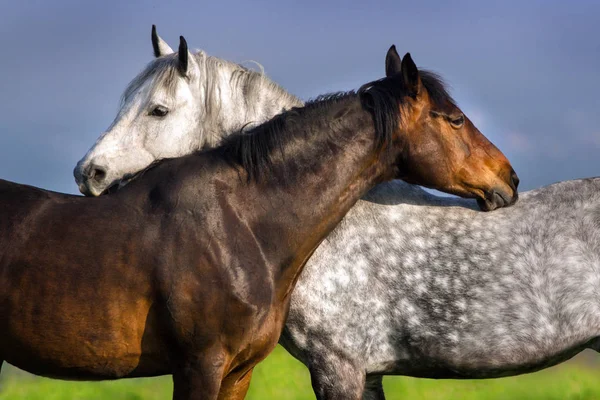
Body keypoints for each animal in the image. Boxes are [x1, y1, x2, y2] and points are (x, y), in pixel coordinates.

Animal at [0, 46, 516, 396]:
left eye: (157, 109)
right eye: (454, 119)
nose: (508, 178)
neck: (239, 221)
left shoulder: (238, 371)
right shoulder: (200, 366)